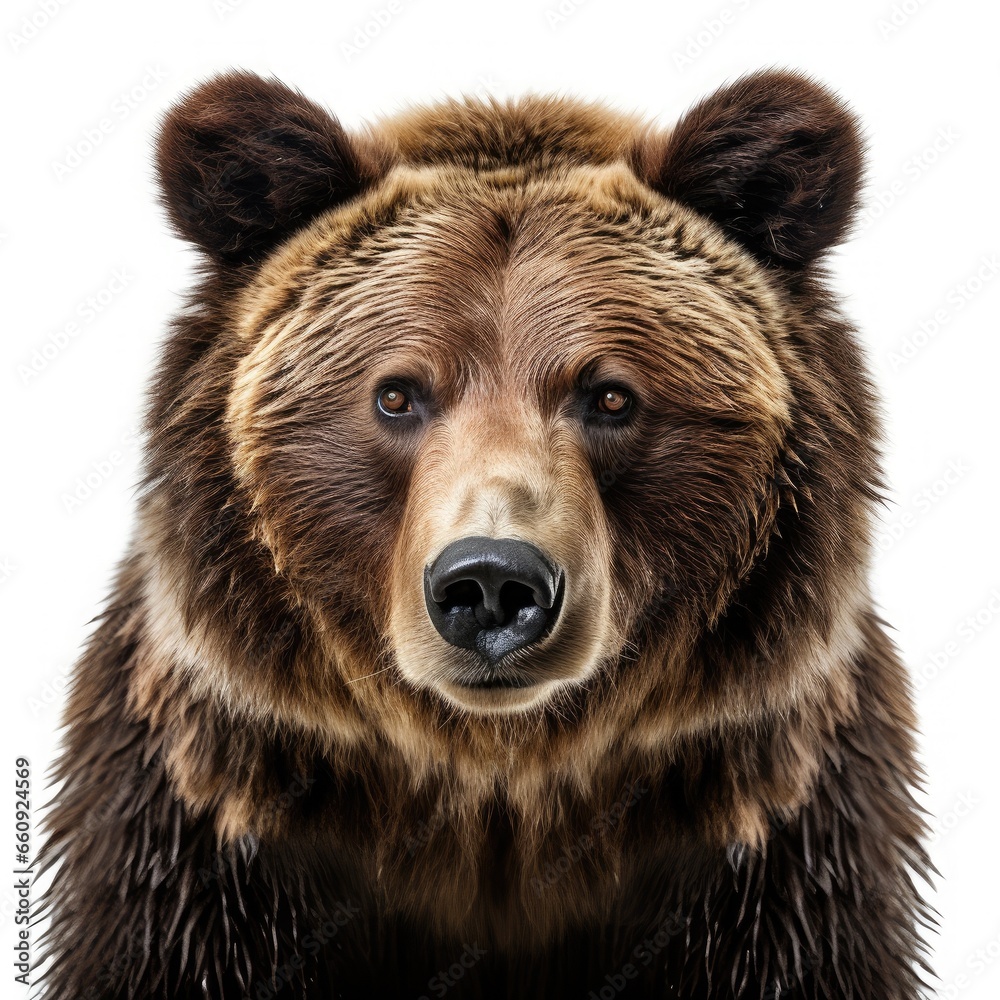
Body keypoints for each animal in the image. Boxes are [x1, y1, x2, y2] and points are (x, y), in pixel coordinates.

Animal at [39, 68, 934, 999]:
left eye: (610, 394)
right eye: (396, 393)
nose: (494, 582)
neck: (496, 779)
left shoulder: (781, 853)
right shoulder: (201, 840)